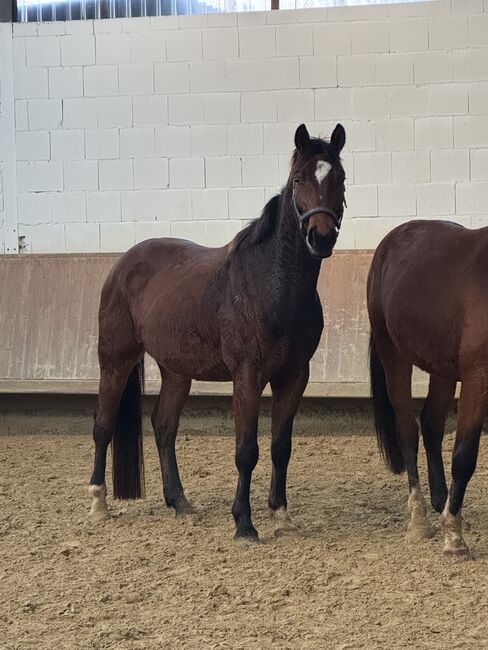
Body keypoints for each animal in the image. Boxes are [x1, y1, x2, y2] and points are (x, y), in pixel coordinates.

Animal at [87, 121, 346, 536]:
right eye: (298, 179)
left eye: (339, 176)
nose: (320, 237)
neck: (272, 285)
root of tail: (122, 264)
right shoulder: (247, 376)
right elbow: (246, 451)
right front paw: (244, 523)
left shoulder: (294, 376)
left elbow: (281, 446)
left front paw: (281, 514)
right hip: (115, 360)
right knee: (103, 425)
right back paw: (98, 504)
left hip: (176, 371)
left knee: (164, 426)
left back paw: (179, 502)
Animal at [370, 220, 488, 556]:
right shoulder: (477, 377)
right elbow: (465, 455)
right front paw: (454, 541)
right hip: (394, 358)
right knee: (409, 432)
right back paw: (420, 520)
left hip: (442, 370)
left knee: (432, 425)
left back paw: (442, 504)